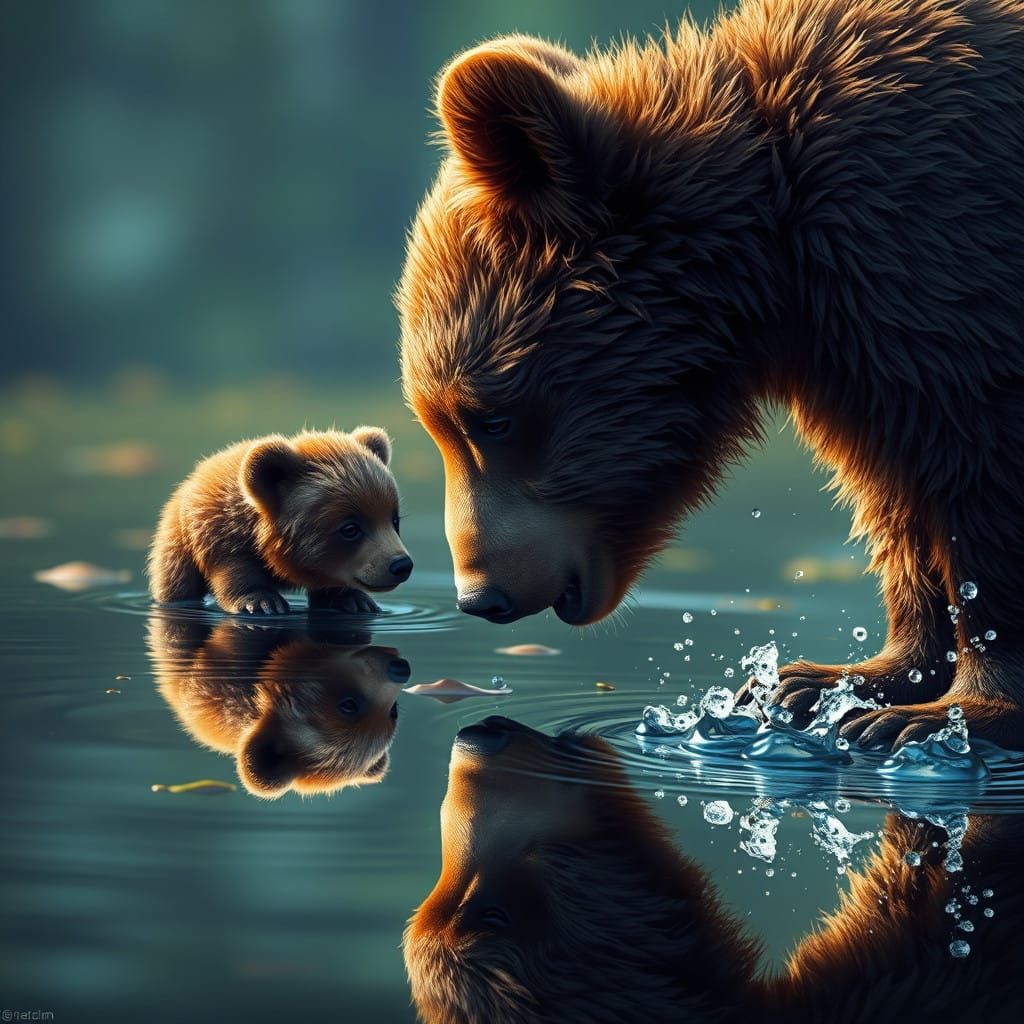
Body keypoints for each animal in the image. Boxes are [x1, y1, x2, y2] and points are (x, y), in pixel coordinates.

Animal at [148, 427, 412, 616]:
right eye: (350, 528)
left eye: (394, 519)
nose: (401, 564)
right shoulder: (222, 537)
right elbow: (235, 571)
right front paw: (262, 601)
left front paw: (355, 600)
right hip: (177, 549)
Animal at [397, 0, 1024, 751]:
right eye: (435, 422)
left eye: (491, 419)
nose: (480, 594)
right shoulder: (867, 349)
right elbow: (896, 493)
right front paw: (824, 683)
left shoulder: (943, 268)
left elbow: (981, 483)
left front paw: (946, 712)